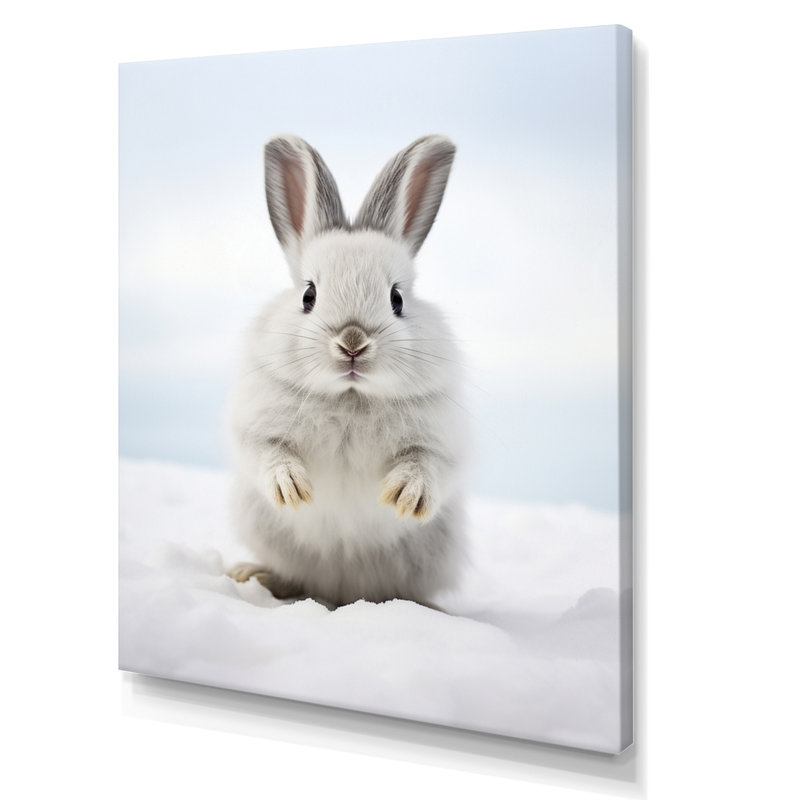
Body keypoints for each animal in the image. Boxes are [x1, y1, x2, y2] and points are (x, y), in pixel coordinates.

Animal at [226, 134, 468, 609]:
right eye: (309, 295)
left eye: (396, 299)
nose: (352, 342)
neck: (350, 398)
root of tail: (340, 591)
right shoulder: (258, 429)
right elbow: (267, 454)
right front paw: (292, 488)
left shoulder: (440, 442)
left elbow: (427, 465)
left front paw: (404, 496)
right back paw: (254, 575)